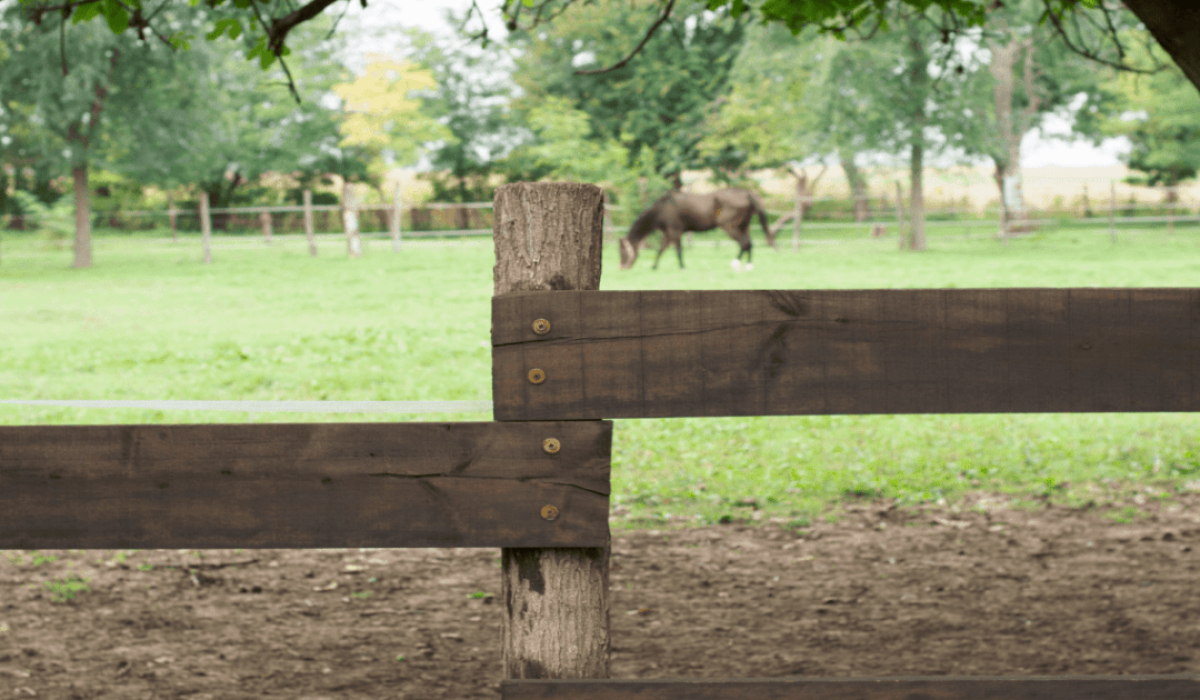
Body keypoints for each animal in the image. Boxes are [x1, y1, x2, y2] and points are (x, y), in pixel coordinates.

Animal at [617, 188, 775, 271]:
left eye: (623, 251)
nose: (622, 267)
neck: (662, 208)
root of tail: (747, 194)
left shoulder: (675, 232)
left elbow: (678, 250)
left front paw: (682, 267)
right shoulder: (668, 234)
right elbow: (661, 250)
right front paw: (654, 267)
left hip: (729, 227)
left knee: (744, 244)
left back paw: (735, 264)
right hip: (743, 227)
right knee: (748, 244)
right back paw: (748, 266)